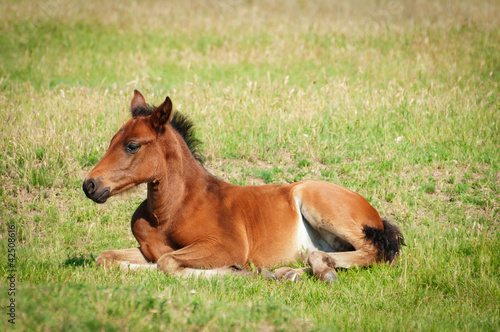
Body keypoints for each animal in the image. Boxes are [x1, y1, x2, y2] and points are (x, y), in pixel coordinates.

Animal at [82, 91, 402, 282]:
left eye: (132, 145)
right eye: (112, 141)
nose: (90, 185)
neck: (169, 211)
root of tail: (374, 213)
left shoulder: (225, 245)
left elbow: (169, 264)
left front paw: (242, 272)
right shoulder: (148, 249)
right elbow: (109, 258)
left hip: (319, 203)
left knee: (373, 252)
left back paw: (314, 270)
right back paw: (290, 271)